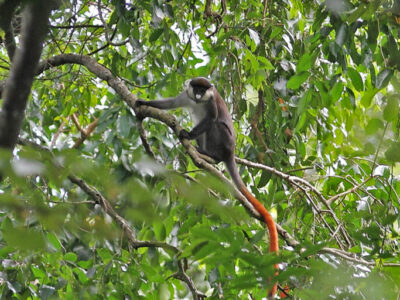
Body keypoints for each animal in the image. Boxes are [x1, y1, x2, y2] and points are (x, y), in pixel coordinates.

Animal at [136, 77, 280, 298]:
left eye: (203, 91)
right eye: (195, 88)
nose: (197, 94)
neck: (199, 101)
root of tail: (231, 153)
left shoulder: (212, 104)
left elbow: (211, 120)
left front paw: (186, 133)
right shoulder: (185, 96)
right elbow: (170, 103)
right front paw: (143, 102)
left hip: (225, 141)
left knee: (216, 125)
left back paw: (212, 156)